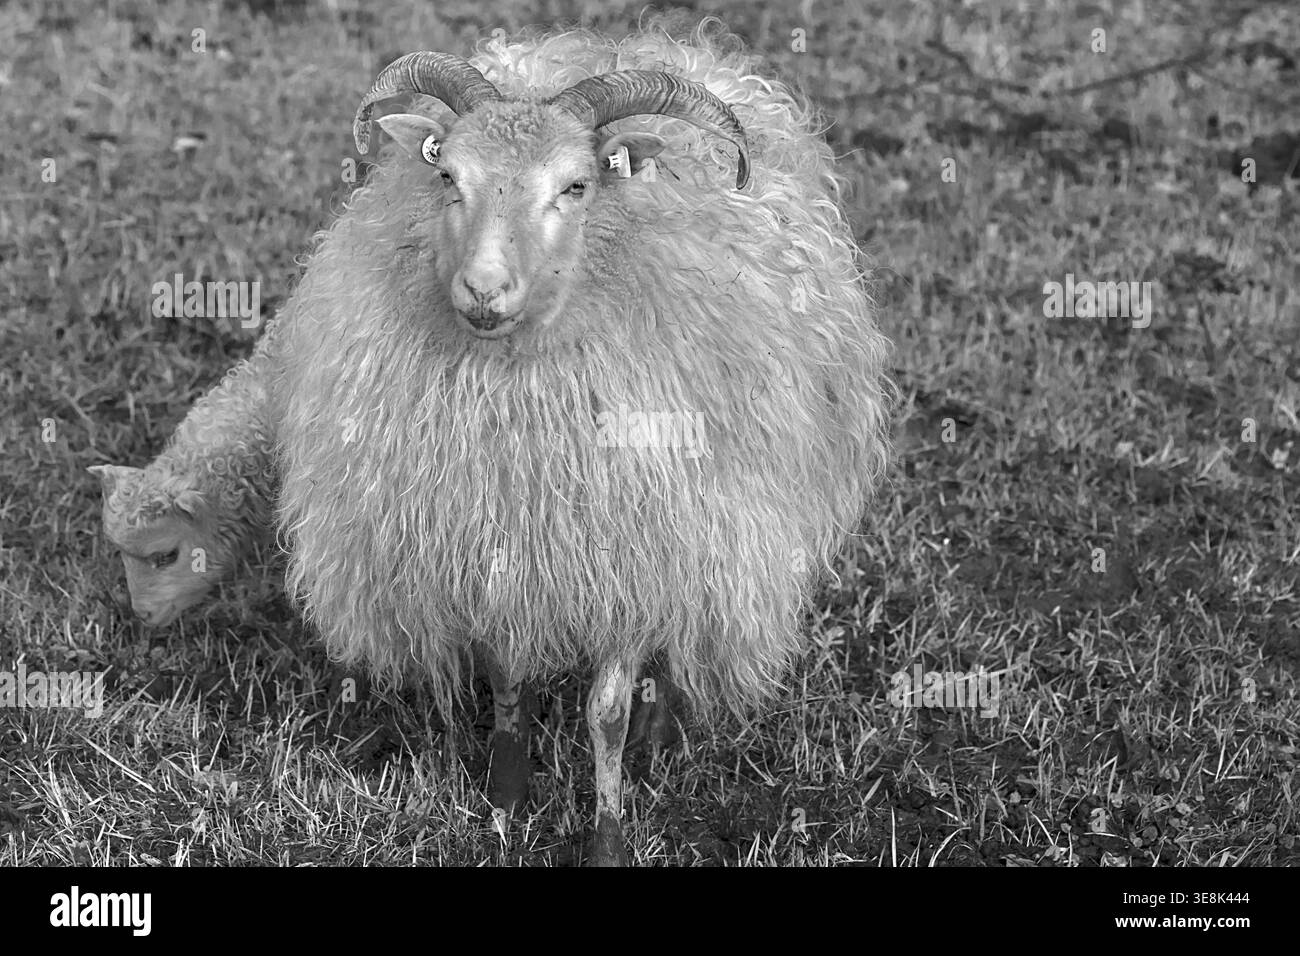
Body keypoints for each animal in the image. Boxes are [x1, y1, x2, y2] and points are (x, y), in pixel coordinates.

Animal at [271, 21, 892, 865]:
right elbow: (507, 680)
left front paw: (607, 833)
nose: (483, 292)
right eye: (448, 176)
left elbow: (606, 711)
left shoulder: (630, 549)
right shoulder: (497, 547)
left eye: (575, 186)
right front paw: (504, 805)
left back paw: (661, 728)